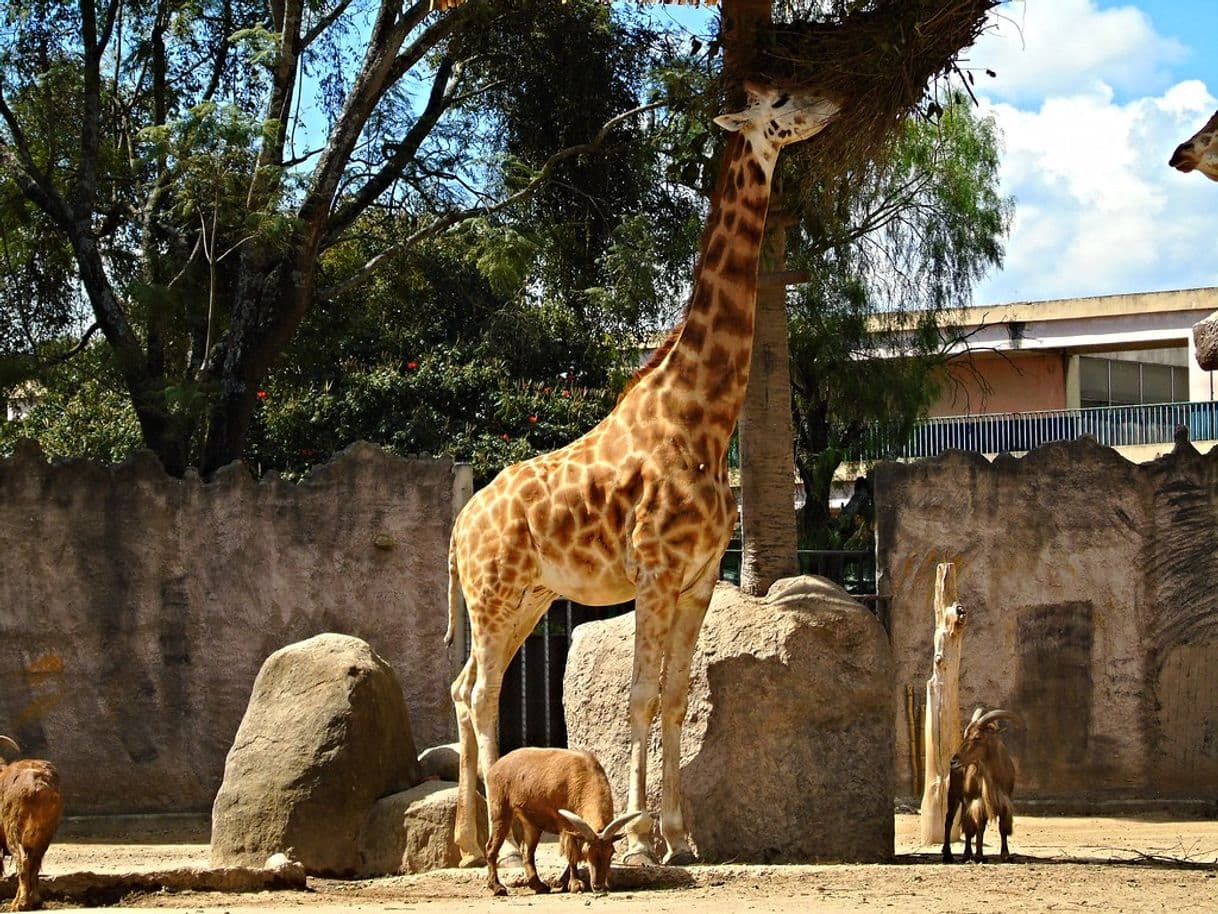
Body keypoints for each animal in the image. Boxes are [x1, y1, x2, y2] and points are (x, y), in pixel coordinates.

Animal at [0, 740, 64, 911]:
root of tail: (38, 785)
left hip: (14, 831)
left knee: (22, 861)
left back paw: (19, 904)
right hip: (44, 834)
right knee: (34, 863)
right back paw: (33, 901)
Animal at [450, 80, 847, 867]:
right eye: (783, 98)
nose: (835, 103)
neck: (703, 418)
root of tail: (456, 529)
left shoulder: (697, 579)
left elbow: (676, 697)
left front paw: (682, 836)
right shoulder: (655, 574)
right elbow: (638, 694)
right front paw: (635, 837)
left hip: (527, 599)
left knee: (464, 688)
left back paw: (467, 842)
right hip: (494, 598)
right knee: (480, 696)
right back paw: (500, 846)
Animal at [479, 745, 643, 896]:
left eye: (611, 852)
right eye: (588, 852)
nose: (598, 885)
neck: (584, 775)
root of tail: (495, 767)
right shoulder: (565, 824)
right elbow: (572, 853)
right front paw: (575, 884)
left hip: (531, 823)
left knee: (527, 851)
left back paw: (539, 886)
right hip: (500, 810)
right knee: (491, 847)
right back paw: (497, 887)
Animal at [940, 706, 1018, 867]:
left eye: (977, 737)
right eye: (965, 735)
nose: (954, 761)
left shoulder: (1003, 800)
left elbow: (1002, 827)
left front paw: (1005, 855)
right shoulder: (977, 799)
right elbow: (978, 827)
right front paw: (979, 856)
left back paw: (967, 853)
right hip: (954, 795)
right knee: (950, 821)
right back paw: (950, 855)